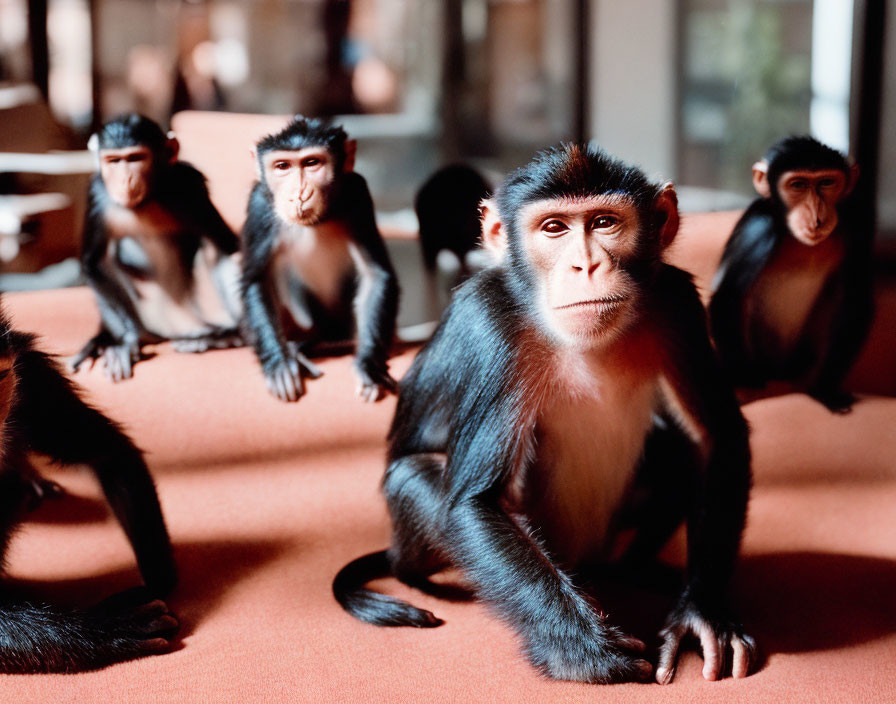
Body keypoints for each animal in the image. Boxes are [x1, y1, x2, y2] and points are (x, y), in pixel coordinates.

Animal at [73, 113, 243, 382]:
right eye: (113, 161)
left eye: (135, 158)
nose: (125, 179)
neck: (147, 200)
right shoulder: (96, 193)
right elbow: (94, 263)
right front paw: (124, 341)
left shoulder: (192, 183)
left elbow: (225, 245)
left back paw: (222, 338)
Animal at [243, 115, 400, 402]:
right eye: (282, 166)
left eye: (312, 163)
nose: (300, 192)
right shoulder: (258, 203)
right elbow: (256, 279)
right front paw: (279, 362)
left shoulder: (358, 192)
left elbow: (375, 273)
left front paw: (368, 366)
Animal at [336, 144, 756, 688]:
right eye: (554, 228)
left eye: (604, 222)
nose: (586, 264)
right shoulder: (495, 325)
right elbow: (474, 501)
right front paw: (579, 650)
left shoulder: (675, 303)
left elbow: (716, 437)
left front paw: (702, 613)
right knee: (417, 472)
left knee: (673, 447)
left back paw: (636, 571)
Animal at [712, 134, 872, 412]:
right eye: (797, 185)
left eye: (827, 182)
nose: (816, 213)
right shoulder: (760, 227)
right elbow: (727, 297)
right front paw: (751, 384)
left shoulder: (856, 222)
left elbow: (855, 299)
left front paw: (825, 390)